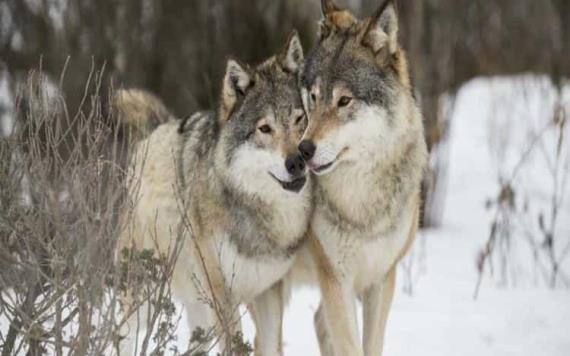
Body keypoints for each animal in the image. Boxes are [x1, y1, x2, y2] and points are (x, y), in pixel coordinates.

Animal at [116, 31, 310, 356]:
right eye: (264, 129)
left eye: (299, 119)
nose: (297, 161)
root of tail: (154, 130)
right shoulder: (222, 296)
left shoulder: (269, 292)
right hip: (143, 296)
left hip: (197, 309)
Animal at [255, 1, 424, 354]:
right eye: (313, 96)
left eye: (344, 100)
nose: (304, 150)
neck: (360, 201)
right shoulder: (335, 280)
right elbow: (350, 345)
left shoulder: (381, 280)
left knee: (317, 322)